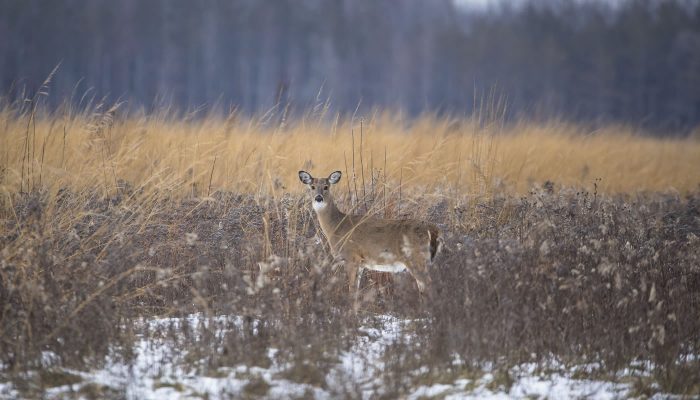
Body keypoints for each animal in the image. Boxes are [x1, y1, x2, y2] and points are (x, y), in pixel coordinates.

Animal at [298, 169, 440, 304]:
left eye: (326, 186)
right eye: (312, 186)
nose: (318, 198)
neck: (337, 227)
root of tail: (432, 229)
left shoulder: (351, 256)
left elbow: (351, 290)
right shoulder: (361, 263)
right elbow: (356, 290)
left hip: (415, 258)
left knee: (429, 284)